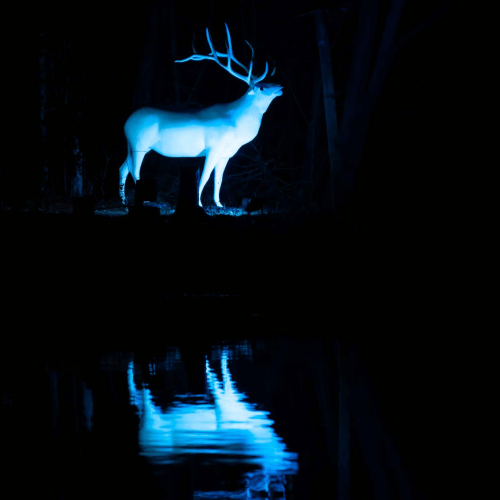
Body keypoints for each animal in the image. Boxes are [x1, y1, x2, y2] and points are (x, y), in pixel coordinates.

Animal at [117, 23, 282, 207]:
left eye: (269, 81)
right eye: (261, 87)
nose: (279, 87)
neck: (237, 124)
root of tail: (126, 122)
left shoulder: (226, 154)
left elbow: (219, 180)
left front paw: (219, 204)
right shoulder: (213, 147)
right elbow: (205, 177)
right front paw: (200, 204)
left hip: (134, 145)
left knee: (122, 168)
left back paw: (124, 201)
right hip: (139, 144)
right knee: (134, 170)